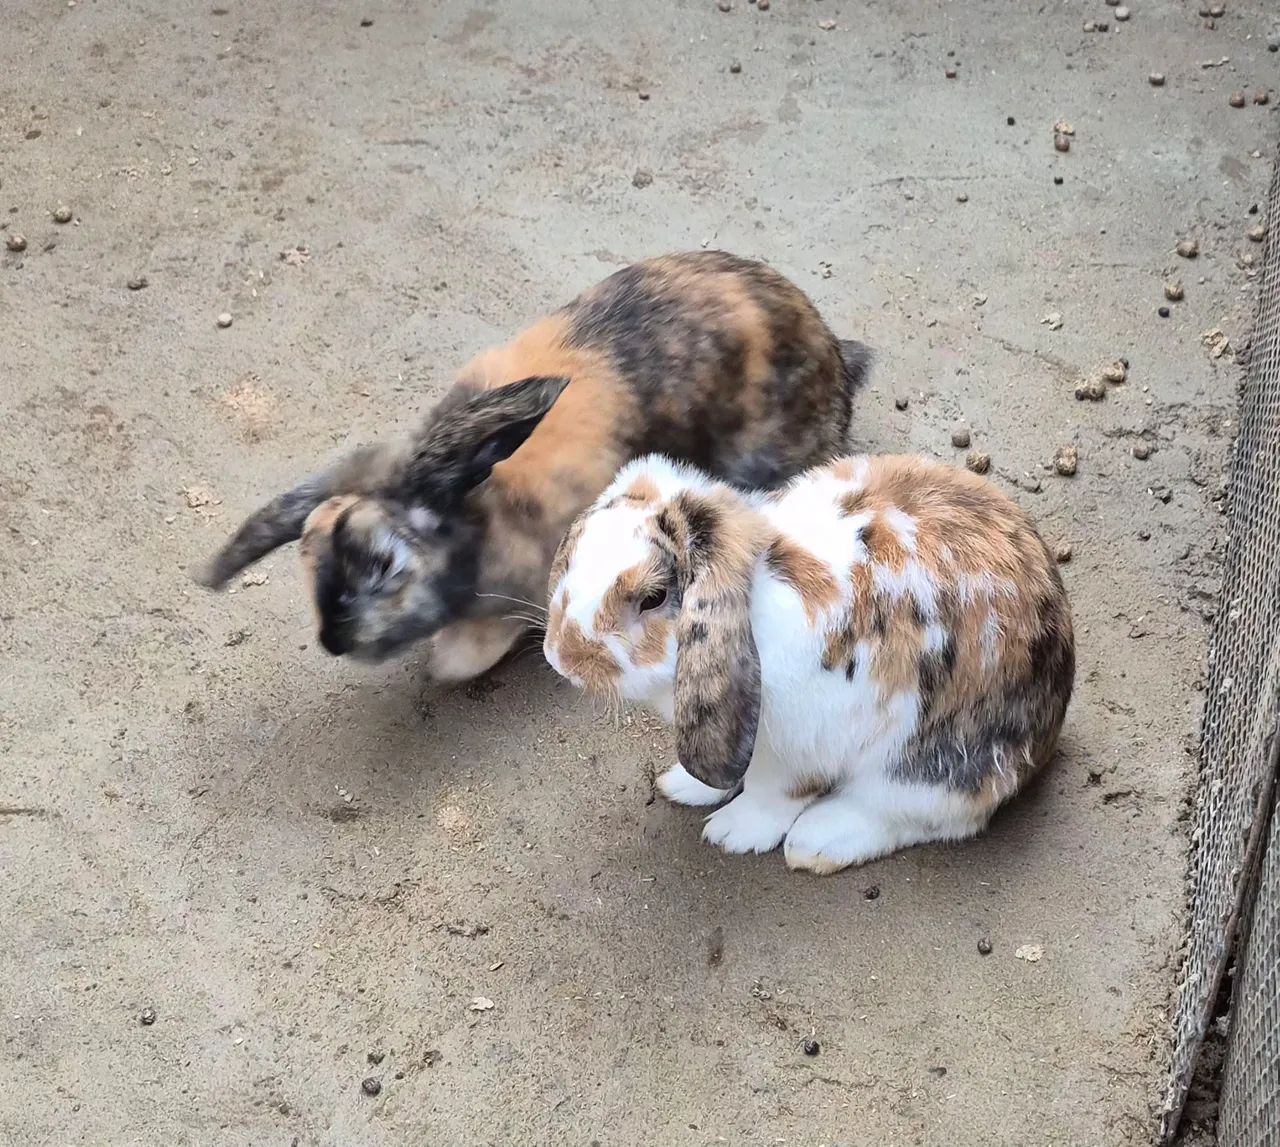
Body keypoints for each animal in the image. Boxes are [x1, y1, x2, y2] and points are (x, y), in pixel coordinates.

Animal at [197, 251, 872, 683]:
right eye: (307, 553)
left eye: (384, 566)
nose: (333, 642)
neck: (479, 514)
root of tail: (834, 355)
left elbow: (467, 656)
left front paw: (447, 661)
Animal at [542, 452, 1074, 873]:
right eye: (574, 550)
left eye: (652, 598)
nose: (562, 656)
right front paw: (685, 786)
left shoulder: (795, 749)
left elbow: (772, 796)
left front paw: (732, 832)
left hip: (927, 767)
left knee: (925, 816)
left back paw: (817, 842)